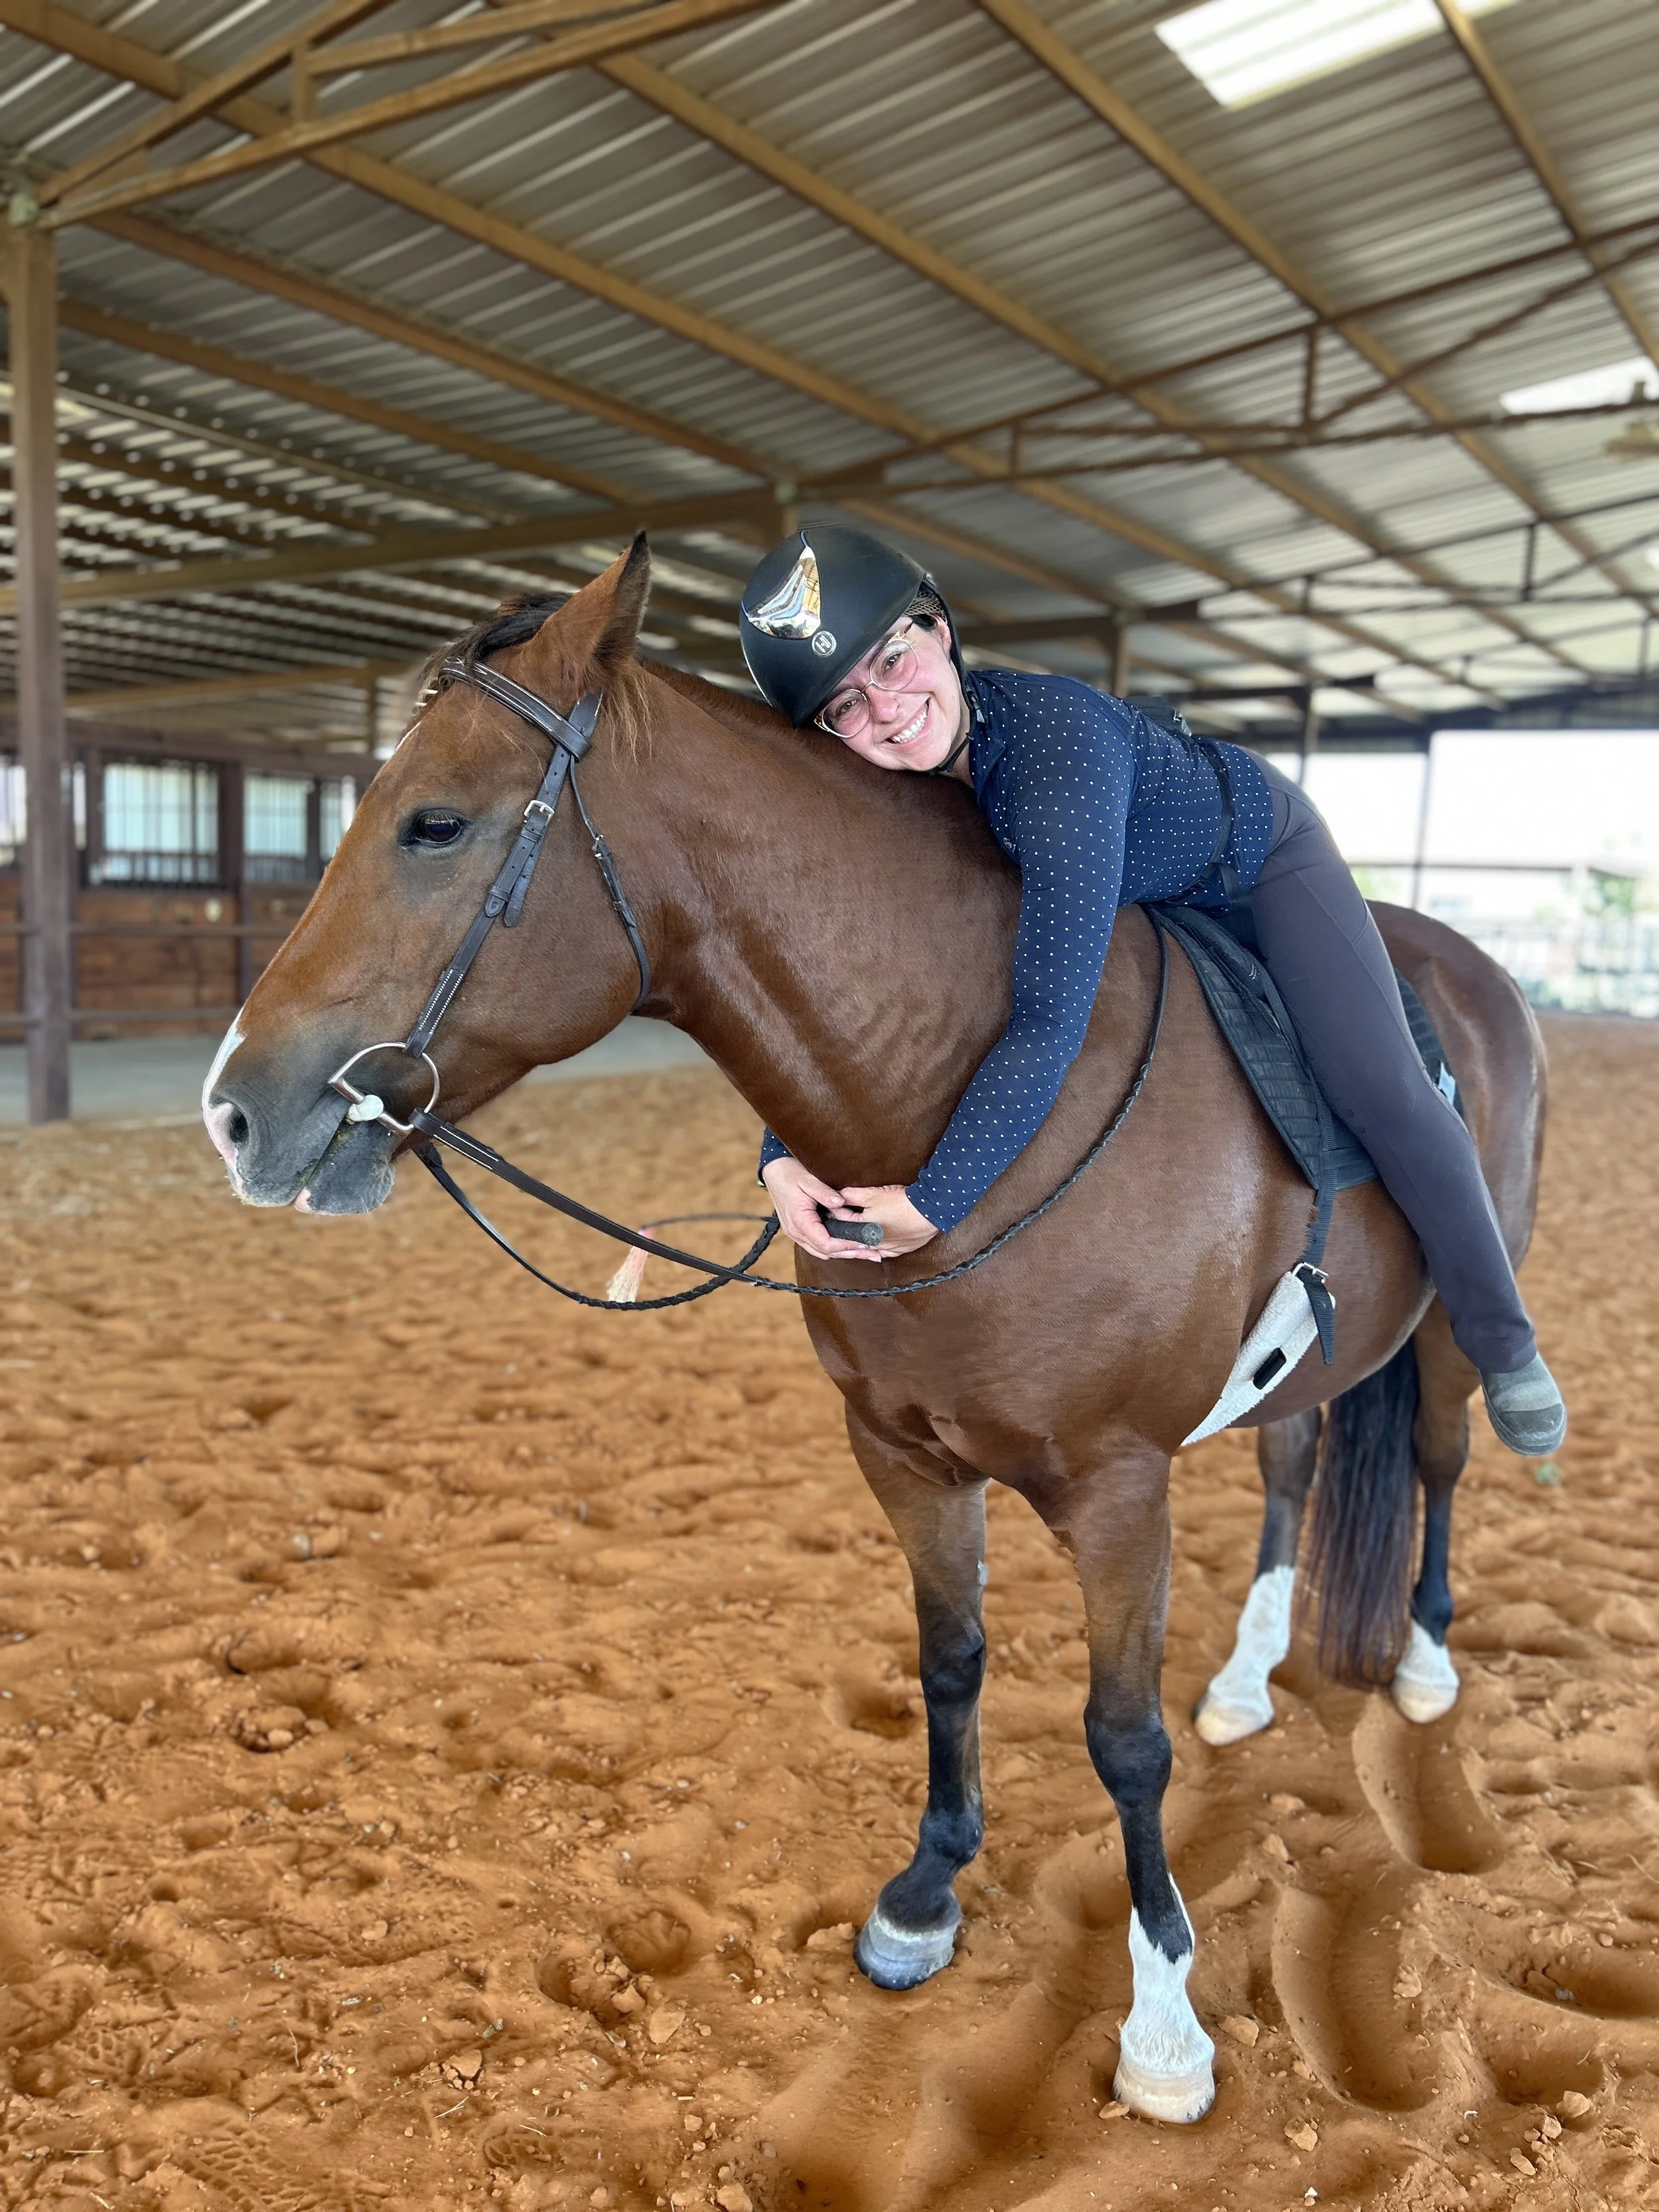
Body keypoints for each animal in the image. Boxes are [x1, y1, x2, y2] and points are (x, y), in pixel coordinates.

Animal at [202, 541, 1544, 2126]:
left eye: (434, 822)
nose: (234, 1112)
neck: (961, 1108)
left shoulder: (1117, 1488)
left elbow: (1119, 1735)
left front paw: (1163, 2019)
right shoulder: (905, 1457)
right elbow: (950, 1661)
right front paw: (925, 1894)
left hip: (1452, 1317)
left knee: (1444, 1456)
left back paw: (1422, 1660)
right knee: (1292, 1466)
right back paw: (1243, 1679)